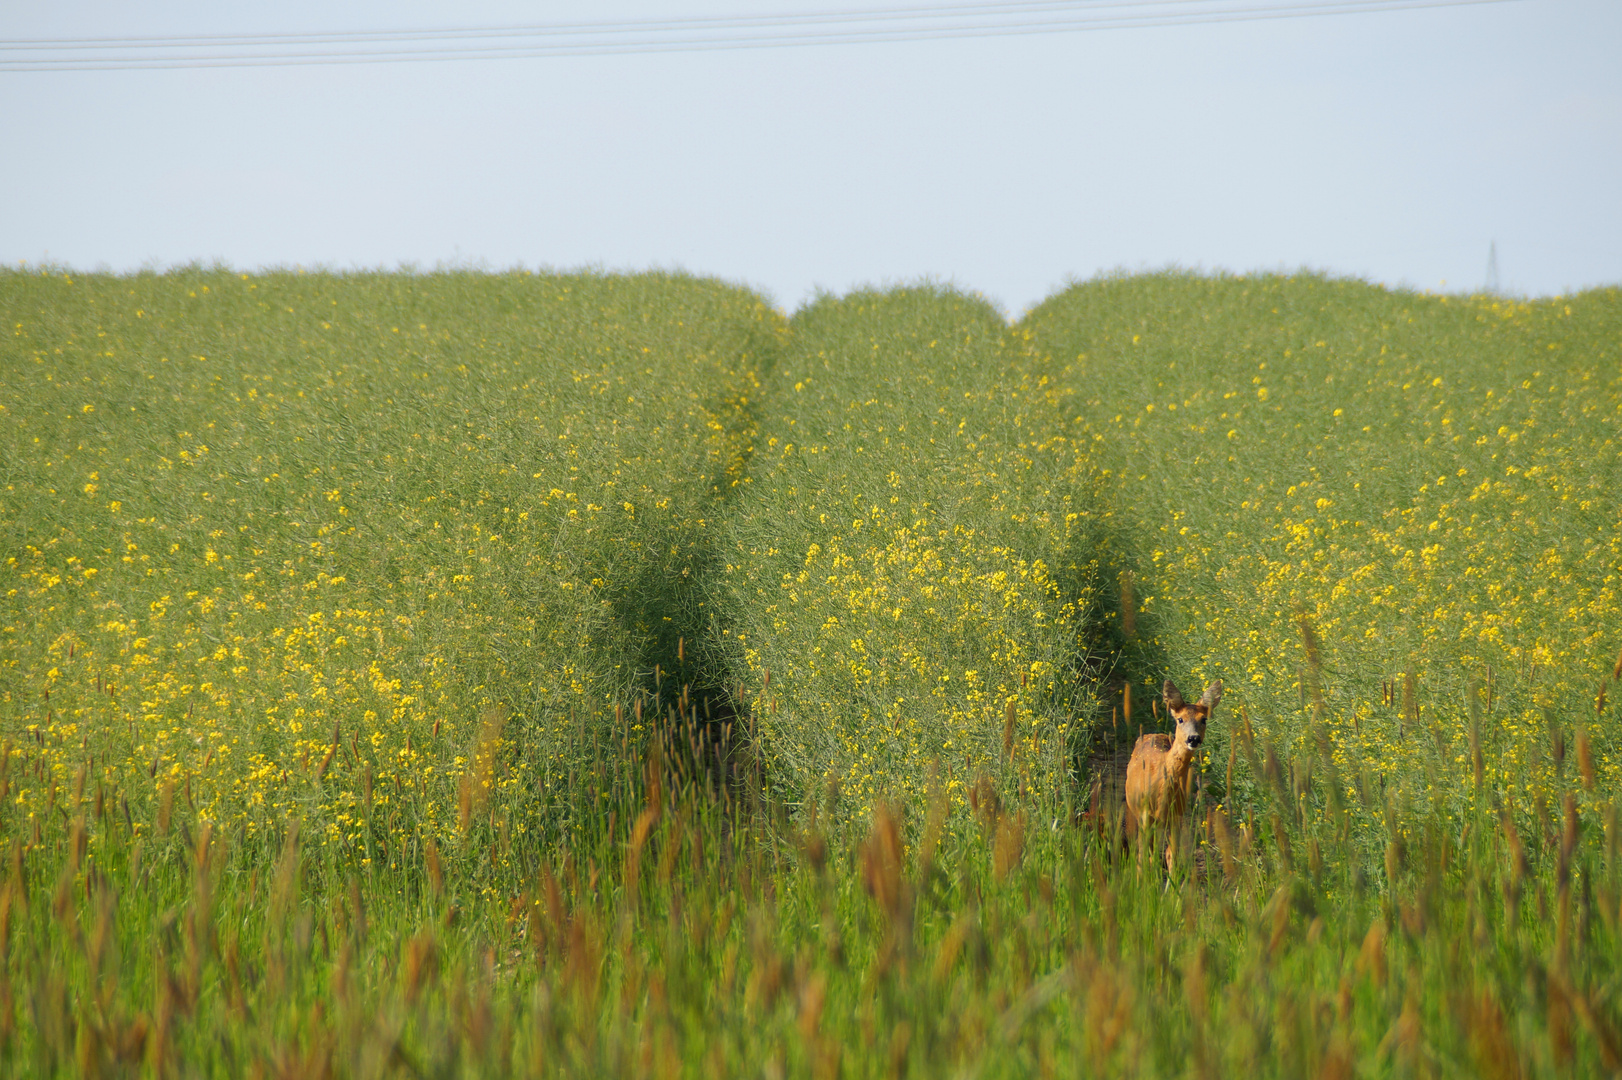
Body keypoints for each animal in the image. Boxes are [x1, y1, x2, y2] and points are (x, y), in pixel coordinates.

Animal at [1128, 677, 1219, 869]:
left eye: (1204, 719)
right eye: (1180, 719)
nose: (1193, 738)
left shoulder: (1177, 815)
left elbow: (1172, 855)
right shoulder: (1144, 813)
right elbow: (1143, 856)